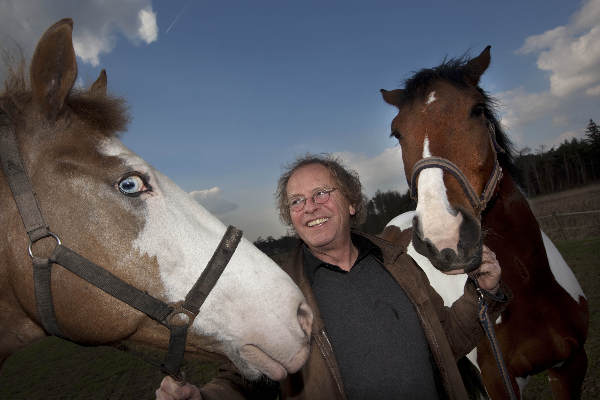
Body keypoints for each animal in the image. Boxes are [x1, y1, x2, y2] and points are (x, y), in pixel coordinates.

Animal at [382, 47, 588, 396]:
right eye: (397, 133)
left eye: (477, 110)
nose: (444, 236)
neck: (533, 286)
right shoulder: (498, 383)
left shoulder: (572, 367)